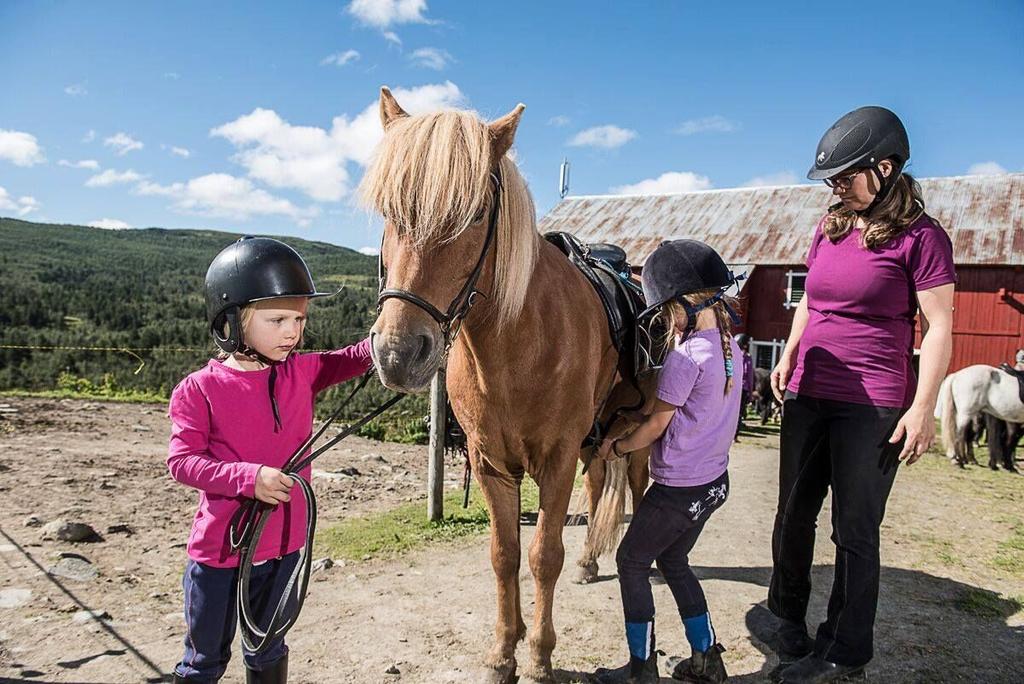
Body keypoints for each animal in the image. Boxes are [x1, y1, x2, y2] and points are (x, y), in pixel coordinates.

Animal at [364, 88, 643, 679]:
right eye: (390, 211)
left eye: (473, 213)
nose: (397, 353)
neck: (517, 346)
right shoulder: (491, 461)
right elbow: (504, 555)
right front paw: (502, 650)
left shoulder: (556, 460)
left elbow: (543, 556)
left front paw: (538, 654)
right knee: (599, 484)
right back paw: (590, 562)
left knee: (641, 487)